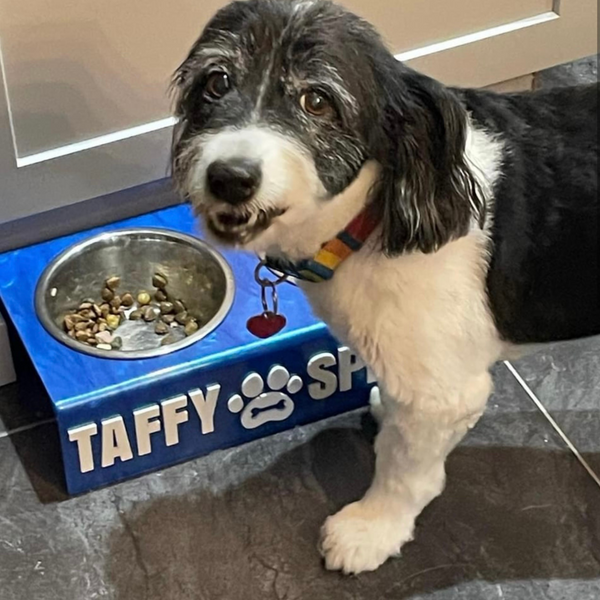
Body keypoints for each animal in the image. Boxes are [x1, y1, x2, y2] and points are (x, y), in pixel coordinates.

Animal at [170, 0, 600, 572]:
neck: (373, 217)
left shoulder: (444, 389)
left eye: (317, 100)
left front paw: (371, 529)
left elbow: (405, 469)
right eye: (216, 83)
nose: (230, 177)